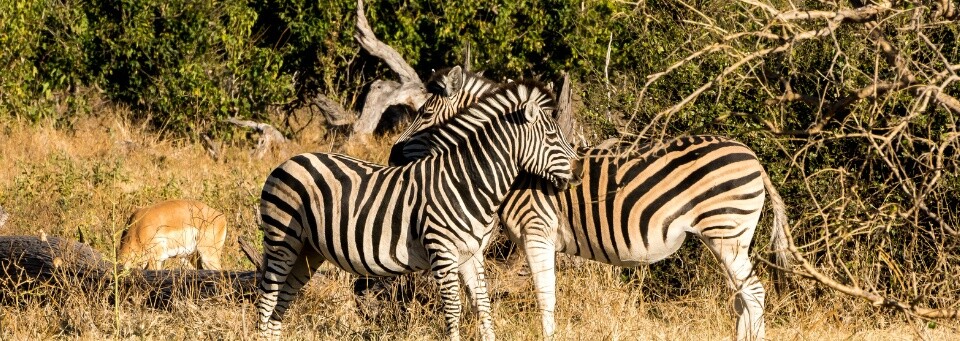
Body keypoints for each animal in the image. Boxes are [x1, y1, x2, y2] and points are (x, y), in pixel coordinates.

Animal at [255, 80, 580, 340]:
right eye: (553, 138)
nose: (578, 173)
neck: (468, 181)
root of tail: (287, 162)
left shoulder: (471, 254)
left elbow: (482, 306)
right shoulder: (442, 251)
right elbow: (454, 310)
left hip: (308, 250)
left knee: (280, 304)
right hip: (283, 240)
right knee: (267, 300)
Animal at [386, 65, 792, 338]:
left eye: (424, 113)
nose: (391, 154)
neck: (520, 166)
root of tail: (753, 157)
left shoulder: (537, 232)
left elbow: (545, 296)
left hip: (726, 231)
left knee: (754, 294)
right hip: (727, 237)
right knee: (743, 298)